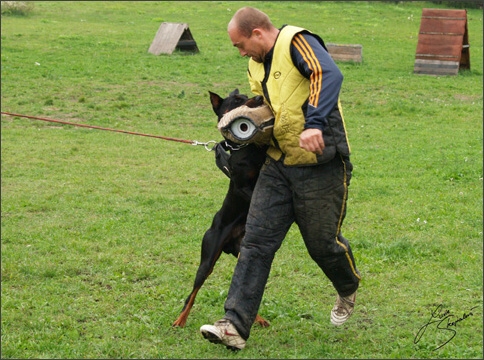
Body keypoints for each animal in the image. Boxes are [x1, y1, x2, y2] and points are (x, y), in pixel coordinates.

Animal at [173, 90, 272, 330]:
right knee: (192, 293)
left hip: (242, 251)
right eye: (236, 100)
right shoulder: (242, 185)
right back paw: (180, 319)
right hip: (208, 257)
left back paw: (257, 319)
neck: (246, 148)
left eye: (246, 95)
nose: (259, 98)